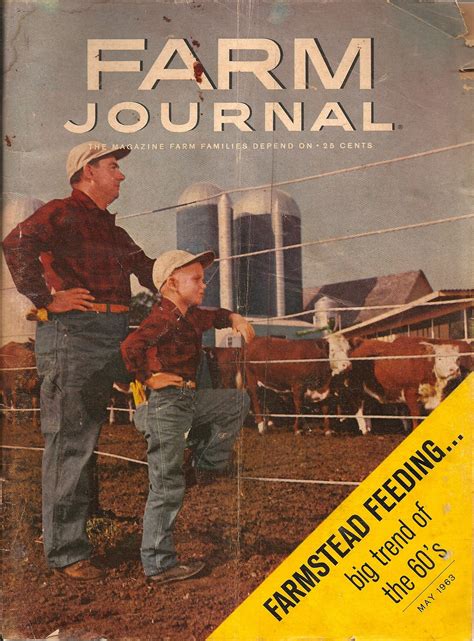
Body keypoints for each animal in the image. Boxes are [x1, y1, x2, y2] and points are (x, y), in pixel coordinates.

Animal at [340, 336, 470, 436]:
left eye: (458, 359)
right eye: (439, 358)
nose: (454, 370)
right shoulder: (410, 392)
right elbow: (416, 415)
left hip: (369, 394)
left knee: (367, 411)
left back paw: (370, 429)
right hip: (356, 391)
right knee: (359, 412)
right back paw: (364, 431)